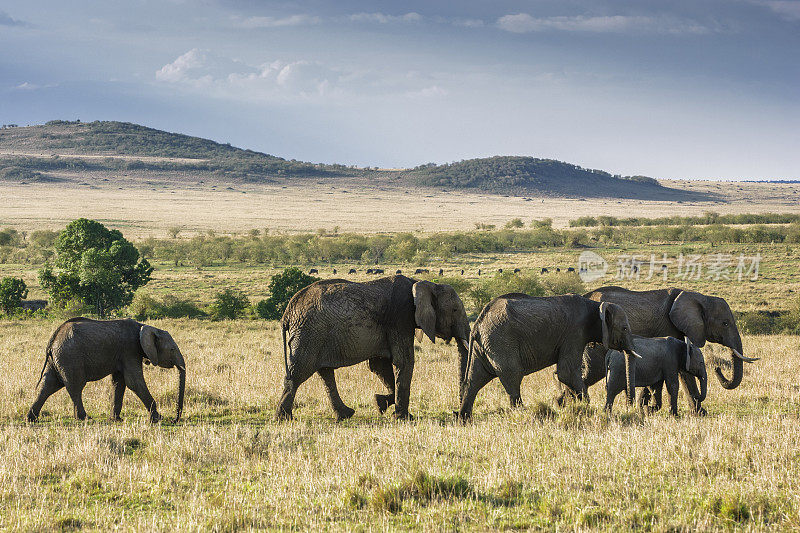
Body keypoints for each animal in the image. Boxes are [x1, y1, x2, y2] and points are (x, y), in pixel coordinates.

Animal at [27, 316, 187, 424]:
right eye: (172, 350)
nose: (174, 419)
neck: (145, 327)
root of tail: (53, 339)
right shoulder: (130, 350)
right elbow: (134, 382)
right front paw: (158, 419)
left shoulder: (123, 355)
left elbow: (119, 383)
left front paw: (116, 419)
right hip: (70, 356)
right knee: (75, 386)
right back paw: (84, 418)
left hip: (57, 359)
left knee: (49, 385)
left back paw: (31, 419)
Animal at [278, 274, 472, 420]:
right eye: (455, 310)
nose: (456, 413)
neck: (423, 283)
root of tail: (288, 312)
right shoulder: (401, 318)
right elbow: (404, 361)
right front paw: (404, 418)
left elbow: (380, 365)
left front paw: (380, 404)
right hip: (310, 333)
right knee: (299, 372)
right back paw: (284, 418)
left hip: (315, 335)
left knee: (325, 373)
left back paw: (345, 414)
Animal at [456, 290, 636, 420]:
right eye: (625, 328)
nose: (631, 406)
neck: (596, 306)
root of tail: (477, 324)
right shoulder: (575, 333)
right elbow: (566, 372)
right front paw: (587, 407)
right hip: (500, 340)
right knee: (512, 376)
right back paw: (522, 413)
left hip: (484, 346)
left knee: (474, 380)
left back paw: (464, 418)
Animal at [580, 284, 760, 414]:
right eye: (725, 323)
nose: (717, 368)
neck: (699, 297)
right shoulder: (670, 327)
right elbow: (684, 371)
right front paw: (700, 413)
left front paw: (645, 406)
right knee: (593, 371)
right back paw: (581, 404)